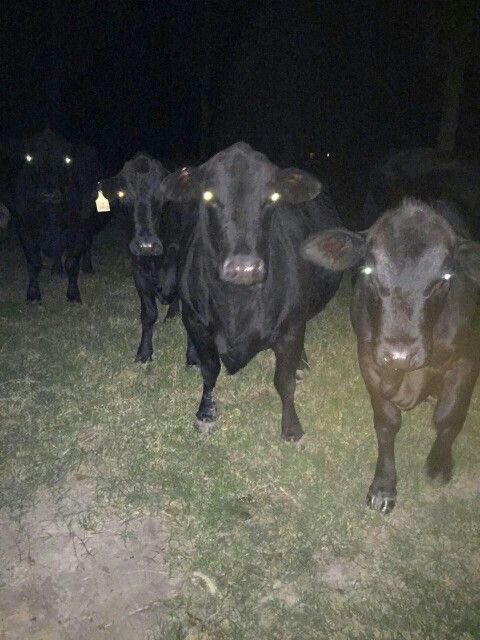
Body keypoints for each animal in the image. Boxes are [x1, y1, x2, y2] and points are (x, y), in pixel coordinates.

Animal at [2, 128, 108, 302]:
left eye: (67, 160)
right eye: (30, 158)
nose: (49, 194)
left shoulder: (78, 227)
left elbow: (72, 262)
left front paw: (73, 294)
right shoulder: (24, 227)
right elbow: (34, 263)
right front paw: (33, 294)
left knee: (87, 243)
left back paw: (87, 267)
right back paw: (56, 269)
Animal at [98, 153, 198, 363]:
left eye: (163, 194)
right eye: (122, 195)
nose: (146, 245)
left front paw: (193, 356)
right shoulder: (138, 272)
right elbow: (149, 314)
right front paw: (144, 352)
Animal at [162, 141, 343, 441]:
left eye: (273, 196)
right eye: (208, 195)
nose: (244, 268)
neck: (237, 304)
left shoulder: (291, 327)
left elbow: (284, 380)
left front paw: (292, 428)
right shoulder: (195, 321)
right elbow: (210, 370)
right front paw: (205, 414)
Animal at [302, 198, 480, 513]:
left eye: (444, 278)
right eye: (369, 272)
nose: (400, 353)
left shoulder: (466, 360)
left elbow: (449, 415)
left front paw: (439, 465)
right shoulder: (369, 357)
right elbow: (386, 422)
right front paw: (383, 487)